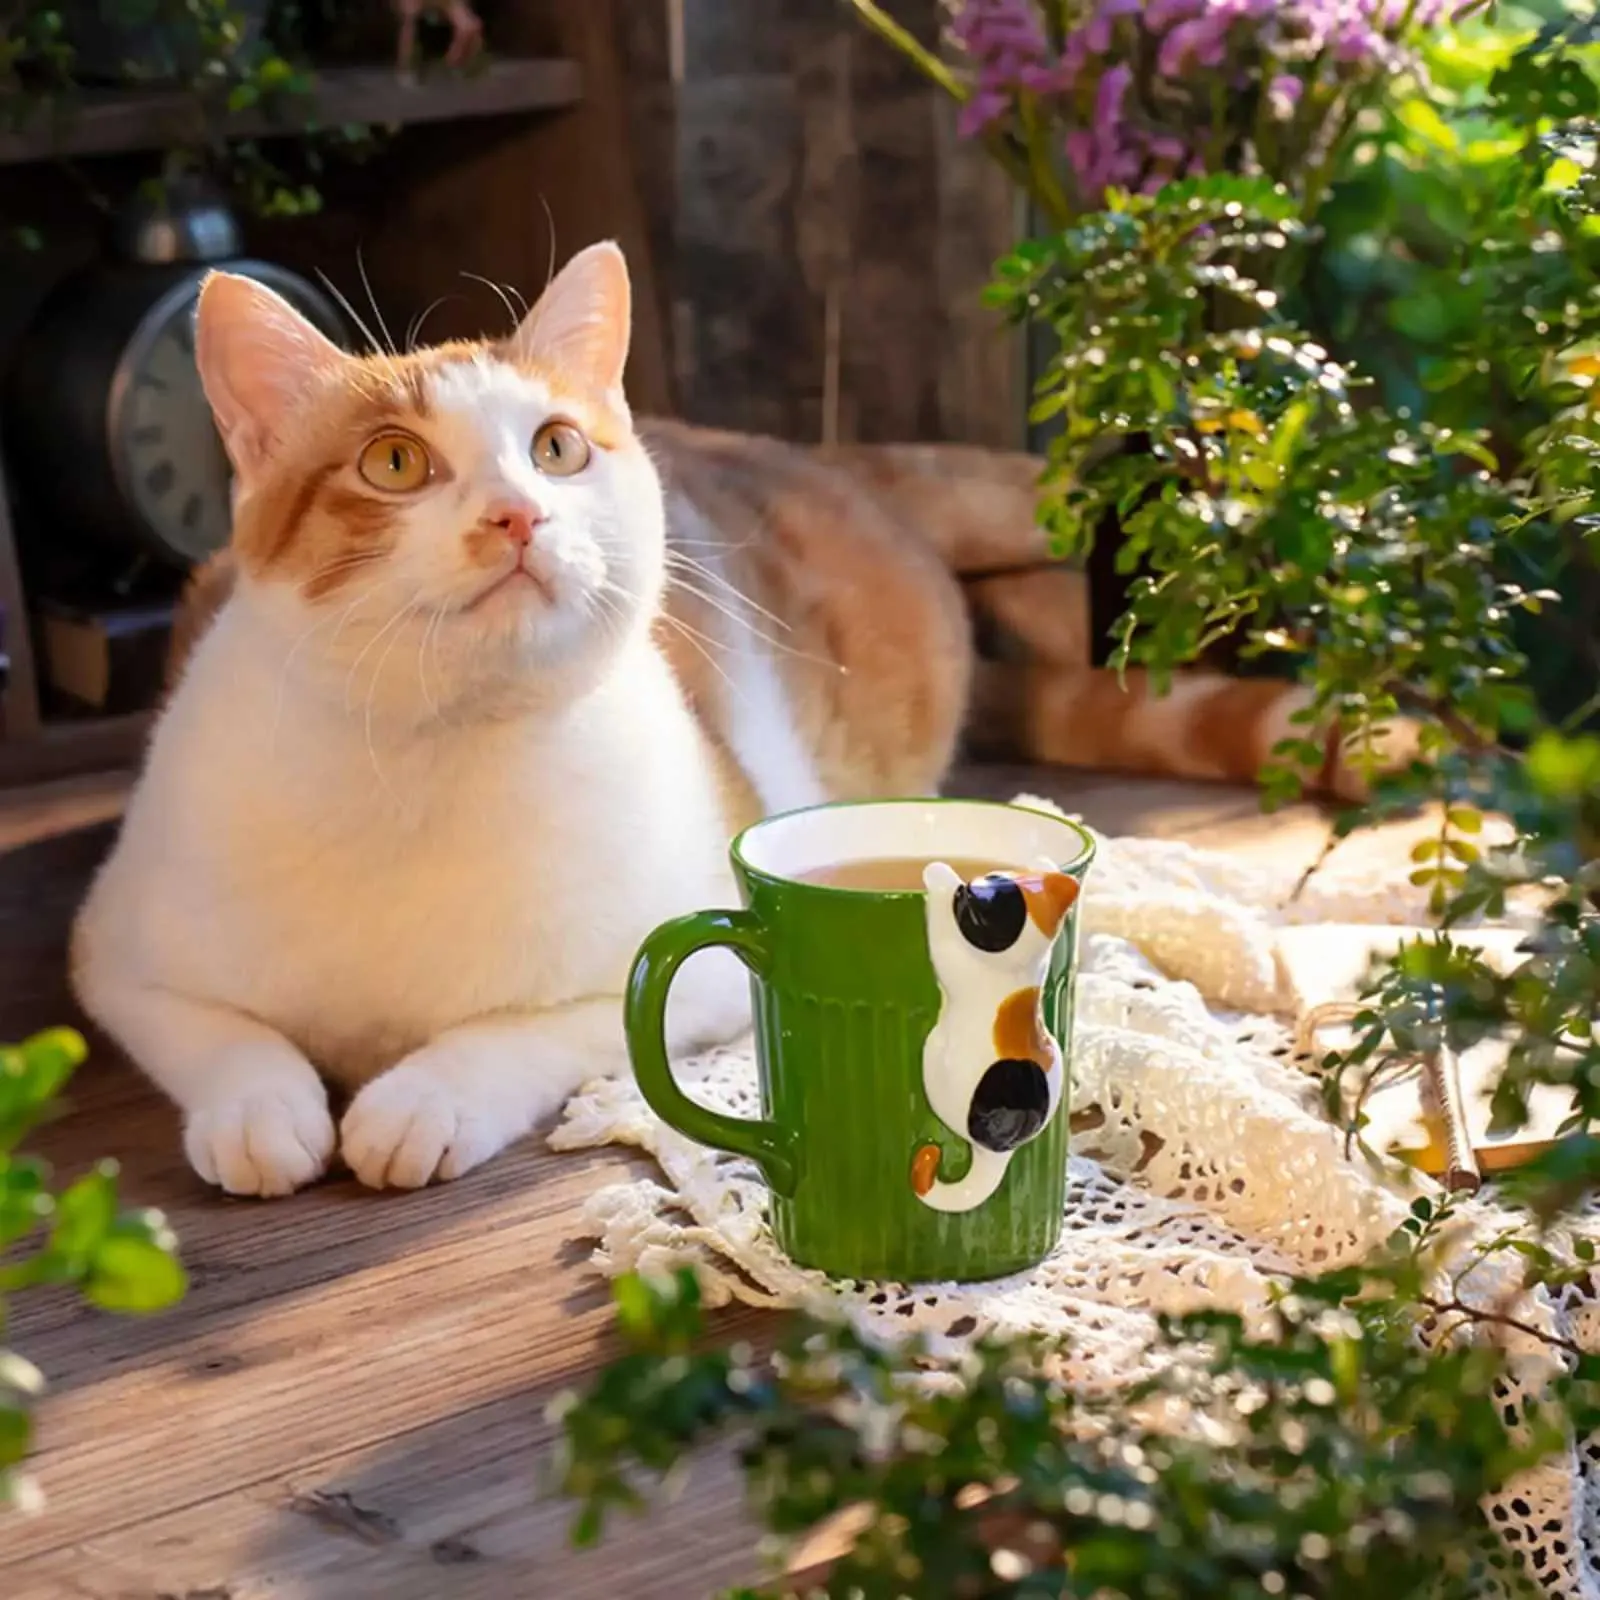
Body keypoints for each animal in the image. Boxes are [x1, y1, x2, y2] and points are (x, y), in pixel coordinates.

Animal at [78, 233, 1401, 1190]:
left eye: (556, 449)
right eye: (394, 463)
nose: (517, 516)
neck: (431, 757)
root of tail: (818, 456)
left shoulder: (688, 969)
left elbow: (532, 1029)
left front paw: (421, 1095)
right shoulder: (114, 950)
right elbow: (222, 1035)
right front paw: (263, 1111)